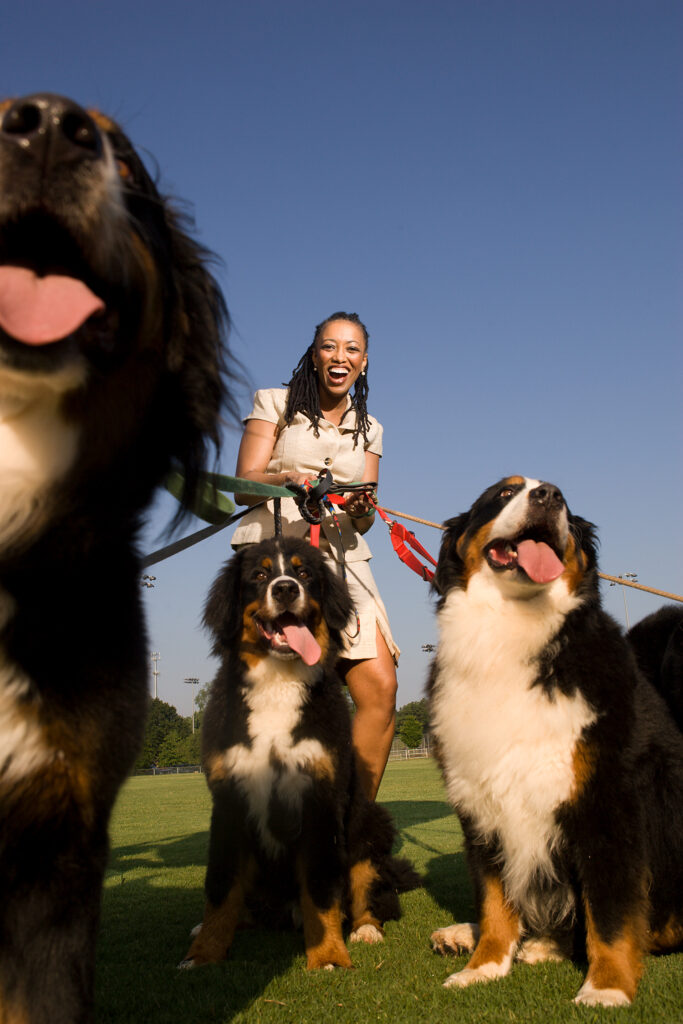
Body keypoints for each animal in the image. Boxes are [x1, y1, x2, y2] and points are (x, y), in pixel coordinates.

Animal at [179, 540, 419, 970]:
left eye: (304, 573)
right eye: (259, 575)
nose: (286, 589)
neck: (278, 682)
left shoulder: (320, 799)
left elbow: (322, 890)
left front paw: (327, 955)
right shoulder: (228, 801)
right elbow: (220, 888)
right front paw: (204, 953)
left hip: (369, 823)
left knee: (370, 891)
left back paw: (366, 928)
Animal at [428, 477, 683, 1007]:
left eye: (562, 496)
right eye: (504, 494)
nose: (547, 495)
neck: (512, 632)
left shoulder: (607, 803)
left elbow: (611, 911)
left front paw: (606, 988)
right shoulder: (480, 805)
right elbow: (494, 900)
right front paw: (483, 966)